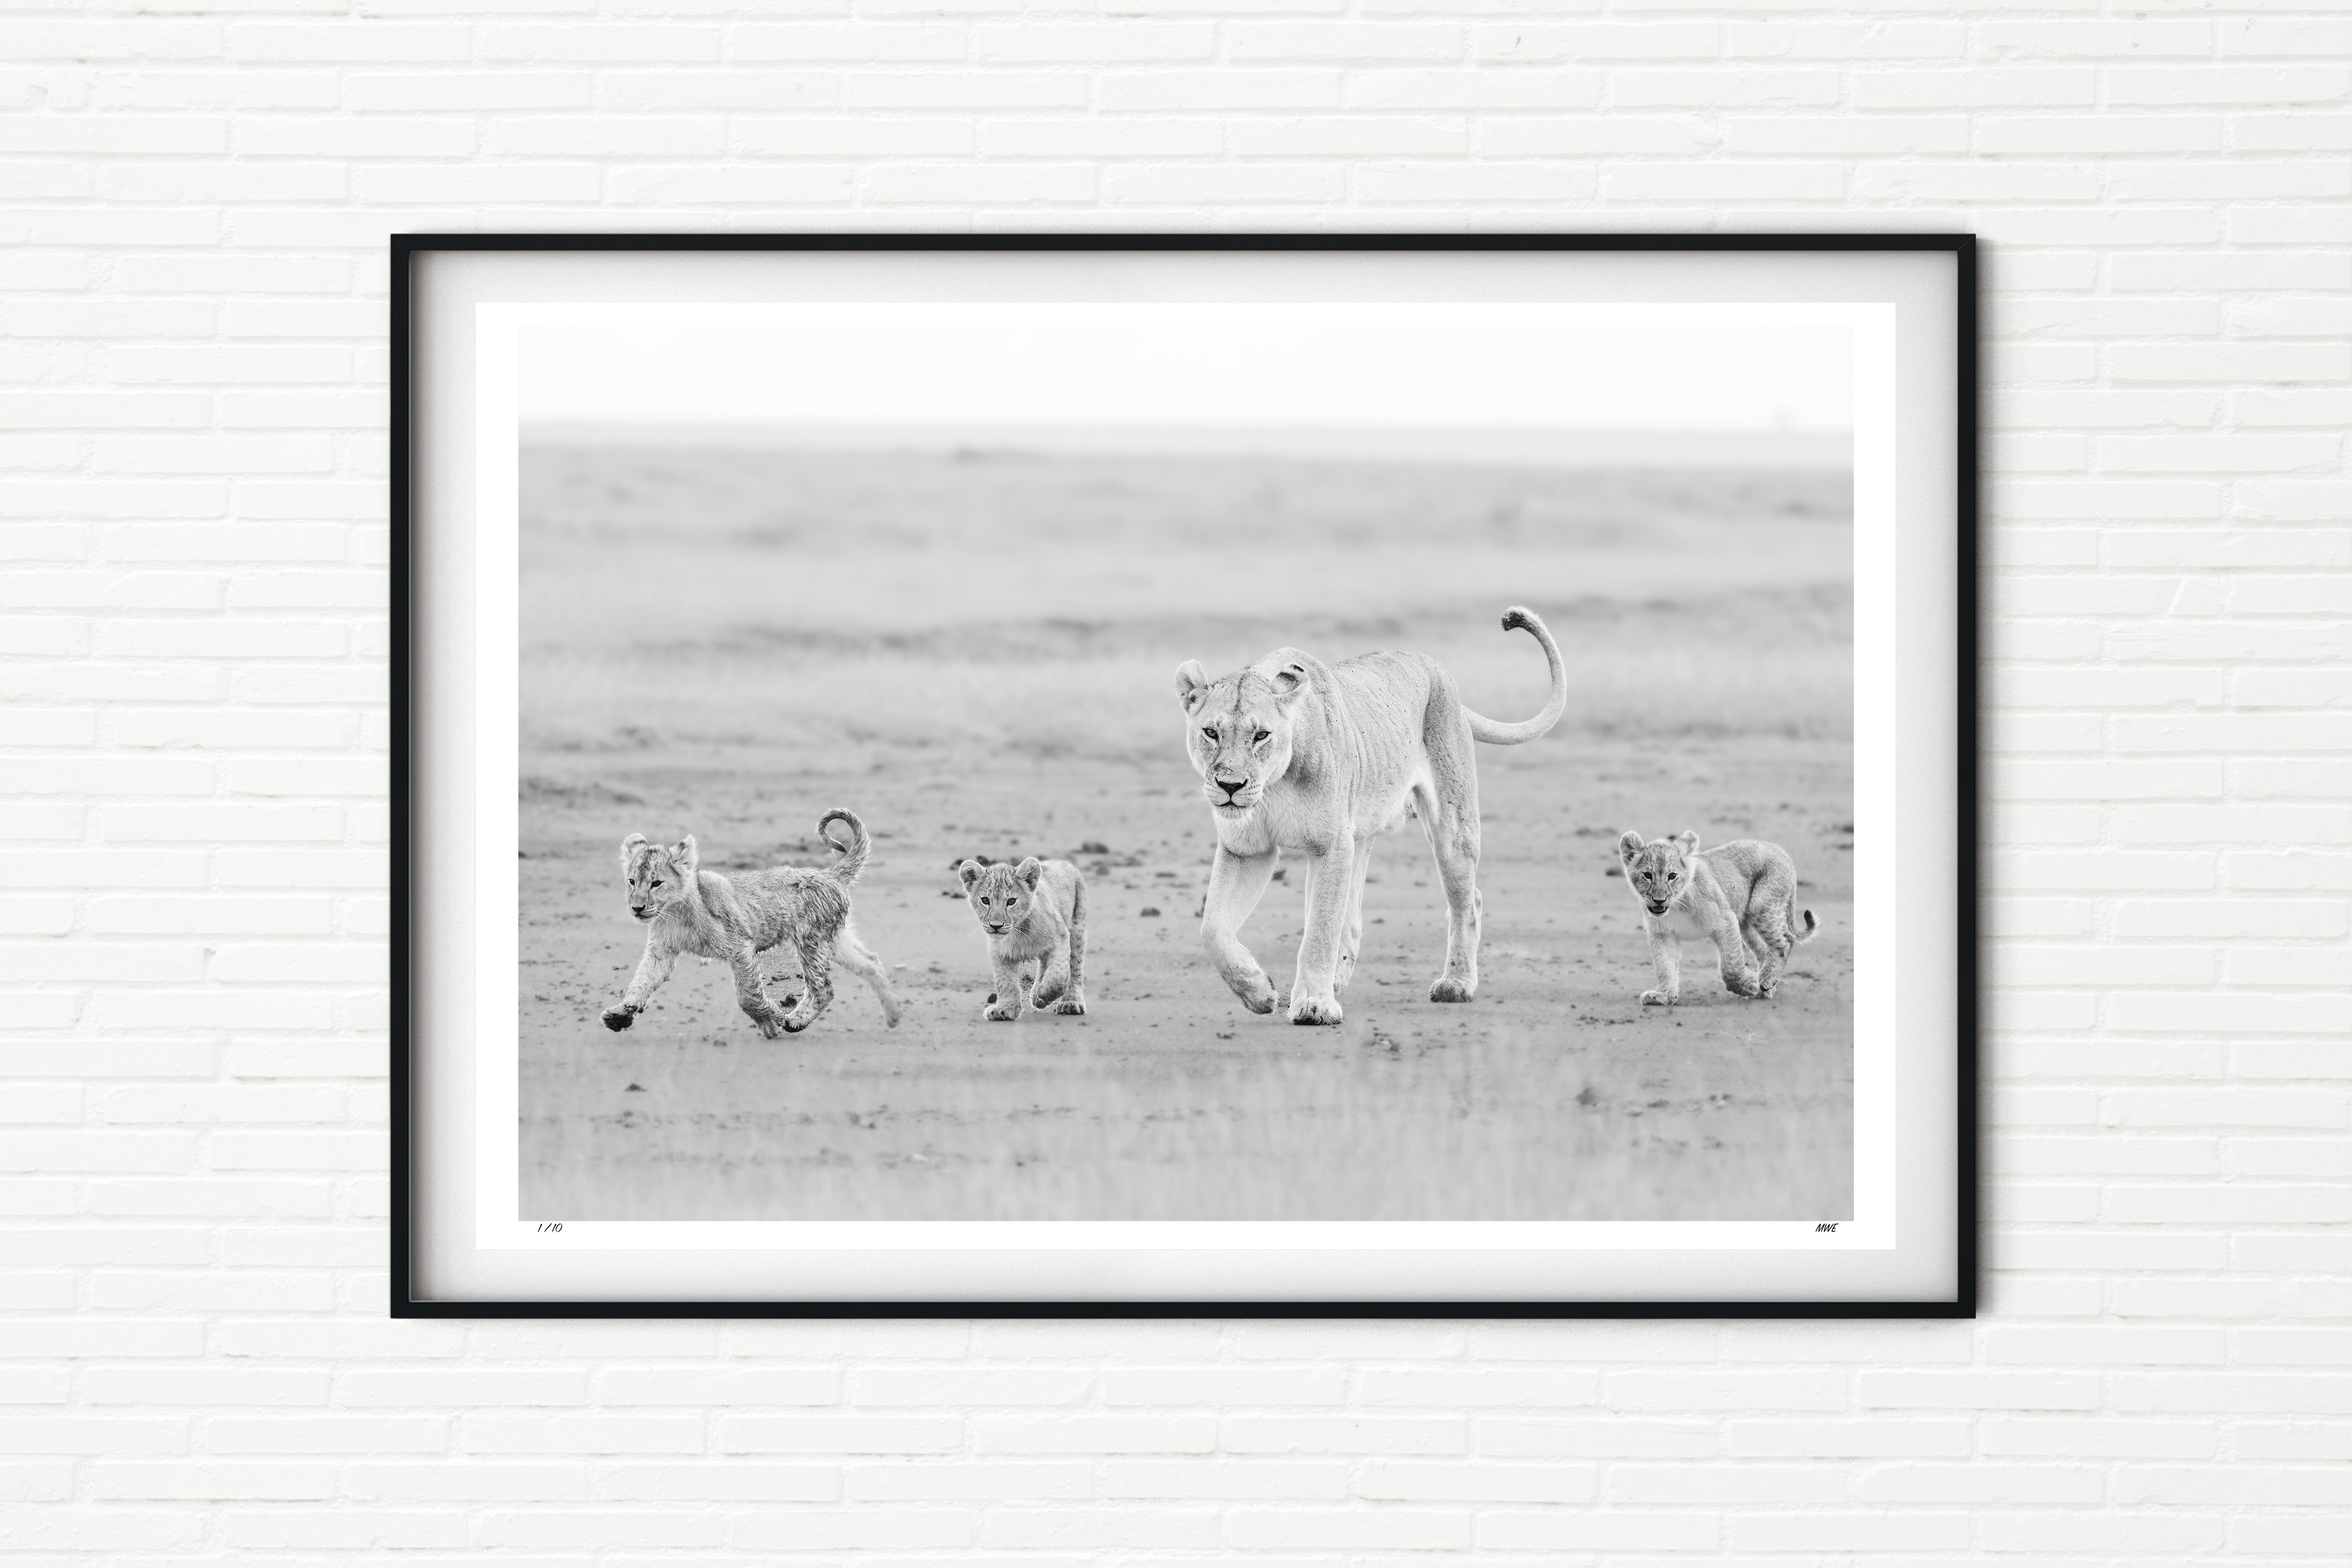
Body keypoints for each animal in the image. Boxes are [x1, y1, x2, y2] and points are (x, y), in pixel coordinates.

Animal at [600, 809, 904, 1038]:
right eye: (632, 881)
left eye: (656, 883)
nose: (637, 908)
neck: (674, 912)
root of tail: (830, 875)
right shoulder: (661, 951)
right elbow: (641, 981)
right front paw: (621, 1014)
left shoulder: (740, 946)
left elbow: (747, 995)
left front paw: (772, 1020)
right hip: (833, 937)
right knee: (871, 962)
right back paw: (894, 1016)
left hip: (810, 939)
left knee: (824, 989)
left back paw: (796, 1021)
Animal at [955, 856, 1088, 1022]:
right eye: (985, 900)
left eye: (1011, 902)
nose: (996, 926)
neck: (1017, 932)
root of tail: (1062, 862)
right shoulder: (998, 952)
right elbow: (1005, 982)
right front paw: (1005, 1010)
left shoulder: (1061, 937)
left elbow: (1059, 975)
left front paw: (1044, 995)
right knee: (1044, 964)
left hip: (1077, 928)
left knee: (1075, 967)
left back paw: (1070, 1003)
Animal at [1173, 606, 1566, 1026]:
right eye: (1211, 733)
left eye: (1261, 735)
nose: (1230, 785)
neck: (1273, 786)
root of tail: (1432, 664)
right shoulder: (1248, 850)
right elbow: (1213, 928)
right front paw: (1258, 992)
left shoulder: (1331, 845)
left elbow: (1320, 930)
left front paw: (1314, 1006)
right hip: (1359, 835)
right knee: (1354, 918)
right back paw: (1337, 981)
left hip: (1452, 827)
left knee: (1468, 901)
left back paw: (1456, 984)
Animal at [1616, 830, 1817, 1006]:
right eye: (1647, 875)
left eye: (1672, 876)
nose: (1659, 900)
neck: (1676, 906)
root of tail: (1779, 850)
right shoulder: (1663, 934)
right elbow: (1664, 966)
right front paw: (1664, 996)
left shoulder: (1725, 920)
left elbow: (1730, 964)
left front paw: (1746, 985)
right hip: (1745, 923)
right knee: (1763, 950)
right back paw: (1764, 989)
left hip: (1761, 906)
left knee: (1786, 941)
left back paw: (1765, 981)